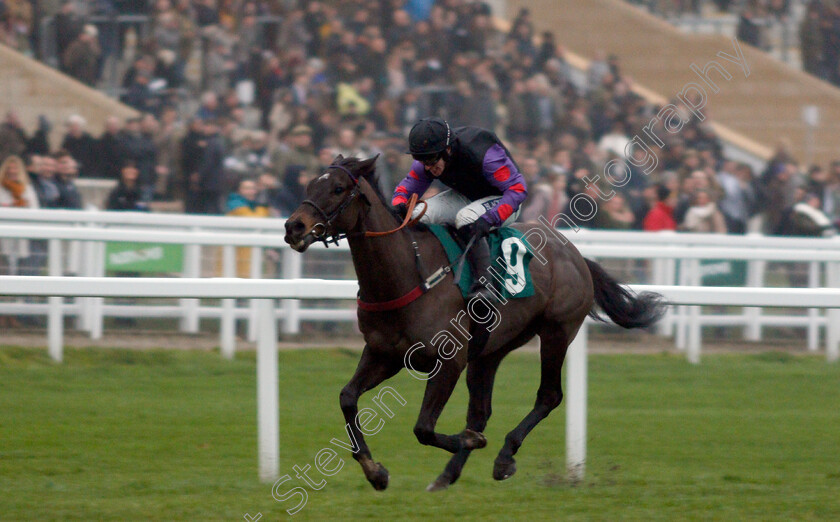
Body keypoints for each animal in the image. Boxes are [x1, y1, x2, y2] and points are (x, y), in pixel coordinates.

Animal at [282, 156, 664, 490]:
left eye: (337, 188)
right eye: (310, 184)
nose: (293, 226)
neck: (406, 274)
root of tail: (575, 254)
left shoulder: (449, 360)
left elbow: (423, 428)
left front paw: (471, 442)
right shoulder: (383, 354)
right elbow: (348, 397)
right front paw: (375, 471)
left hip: (557, 331)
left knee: (549, 395)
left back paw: (504, 456)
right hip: (490, 350)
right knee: (481, 410)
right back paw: (448, 475)